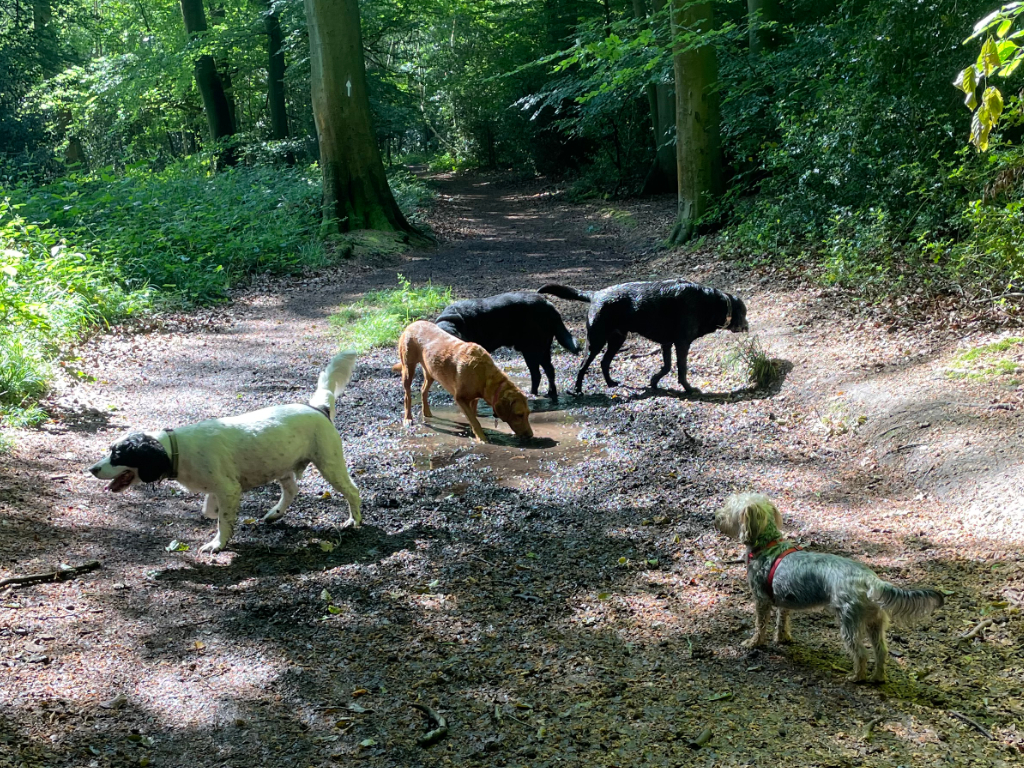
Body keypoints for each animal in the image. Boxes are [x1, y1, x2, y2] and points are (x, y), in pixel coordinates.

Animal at [88, 352, 362, 557]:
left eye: (118, 454)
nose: (92, 469)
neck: (176, 450)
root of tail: (318, 408)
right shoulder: (221, 488)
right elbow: (212, 511)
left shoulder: (228, 488)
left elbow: (222, 519)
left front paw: (217, 543)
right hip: (282, 464)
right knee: (292, 490)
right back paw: (276, 513)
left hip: (329, 463)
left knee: (353, 491)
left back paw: (354, 521)